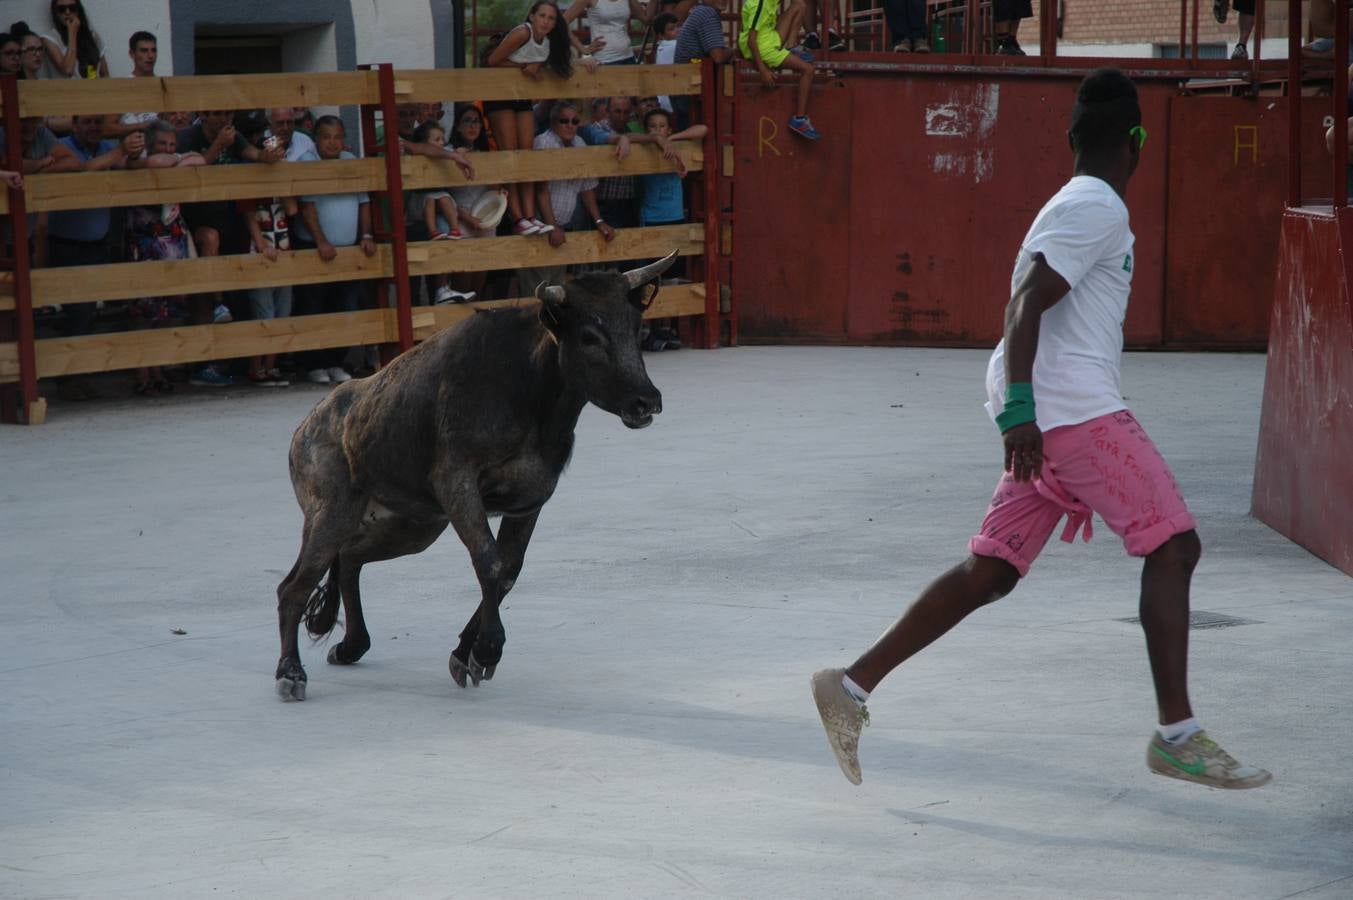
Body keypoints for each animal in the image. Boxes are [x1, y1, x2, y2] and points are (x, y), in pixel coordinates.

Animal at [276, 249, 681, 698]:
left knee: (348, 560)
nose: (646, 400)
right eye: (589, 337)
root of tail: (305, 427)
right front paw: (487, 651)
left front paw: (465, 654)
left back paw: (351, 645)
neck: (532, 391)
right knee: (293, 586)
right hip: (331, 513)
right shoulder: (458, 485)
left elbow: (509, 571)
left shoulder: (529, 500)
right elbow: (490, 563)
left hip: (411, 526)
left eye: (635, 327)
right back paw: (290, 672)